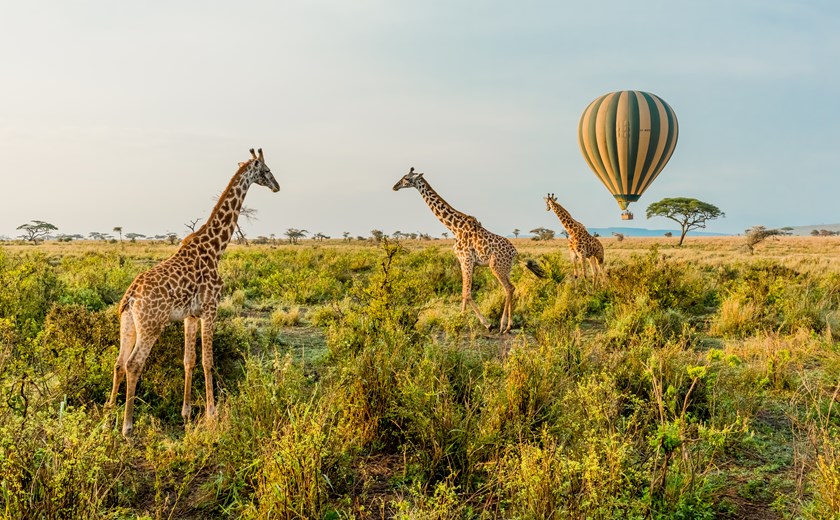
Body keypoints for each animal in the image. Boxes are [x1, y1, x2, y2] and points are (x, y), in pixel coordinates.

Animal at [104, 148, 280, 436]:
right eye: (265, 170)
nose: (277, 186)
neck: (216, 248)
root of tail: (130, 297)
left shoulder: (190, 315)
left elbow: (189, 360)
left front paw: (186, 413)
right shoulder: (211, 308)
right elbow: (208, 361)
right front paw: (212, 414)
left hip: (128, 322)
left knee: (118, 363)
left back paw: (108, 416)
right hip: (151, 326)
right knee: (133, 364)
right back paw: (127, 427)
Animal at [393, 168, 545, 333]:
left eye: (407, 179)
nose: (395, 186)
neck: (454, 227)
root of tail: (515, 253)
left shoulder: (466, 259)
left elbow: (467, 292)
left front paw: (485, 323)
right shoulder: (467, 262)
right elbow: (464, 292)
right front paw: (461, 318)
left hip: (496, 266)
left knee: (509, 288)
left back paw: (503, 325)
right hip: (506, 268)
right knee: (512, 288)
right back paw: (509, 326)